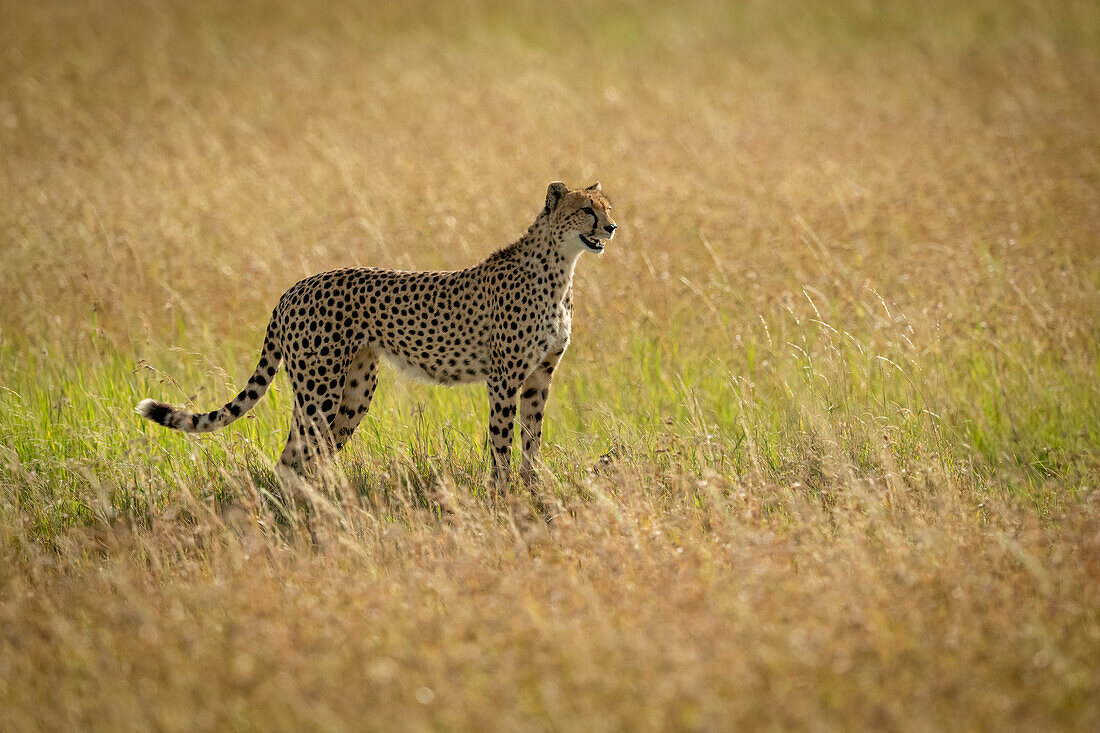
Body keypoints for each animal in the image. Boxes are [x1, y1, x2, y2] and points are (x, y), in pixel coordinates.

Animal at [135, 179, 620, 484]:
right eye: (586, 211)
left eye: (608, 209)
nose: (613, 227)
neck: (560, 268)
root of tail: (295, 287)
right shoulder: (505, 378)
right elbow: (502, 439)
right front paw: (504, 492)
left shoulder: (540, 375)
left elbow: (532, 438)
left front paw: (534, 487)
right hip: (319, 390)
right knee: (295, 456)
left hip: (354, 390)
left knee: (306, 456)